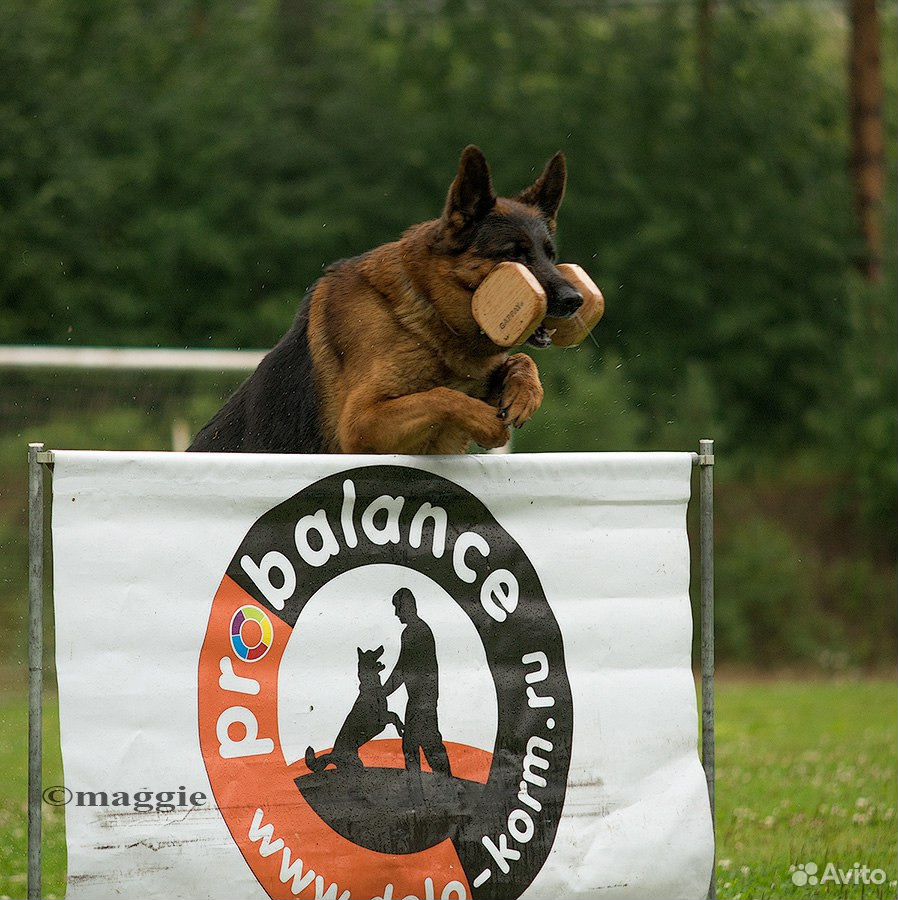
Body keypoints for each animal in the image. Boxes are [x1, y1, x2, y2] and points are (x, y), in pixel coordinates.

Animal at [189, 150, 580, 458]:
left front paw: (525, 393)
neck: (428, 315)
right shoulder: (361, 422)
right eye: (514, 255)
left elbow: (521, 361)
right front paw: (488, 423)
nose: (574, 300)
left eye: (549, 255)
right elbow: (442, 396)